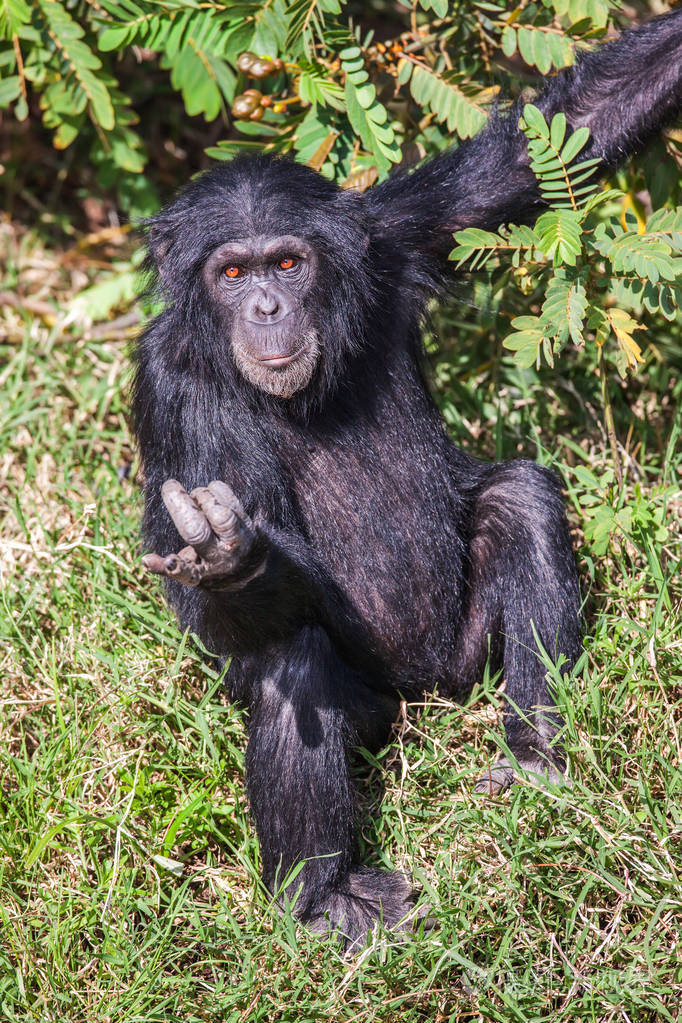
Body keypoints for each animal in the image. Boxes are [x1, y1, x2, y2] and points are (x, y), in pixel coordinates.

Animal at [132, 12, 682, 945]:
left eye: (287, 264)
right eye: (231, 273)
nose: (266, 308)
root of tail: (422, 693)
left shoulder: (393, 233)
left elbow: (551, 143)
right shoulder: (165, 386)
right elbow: (209, 598)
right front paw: (226, 556)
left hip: (462, 656)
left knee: (521, 501)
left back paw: (535, 761)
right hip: (372, 706)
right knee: (292, 663)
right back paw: (322, 898)